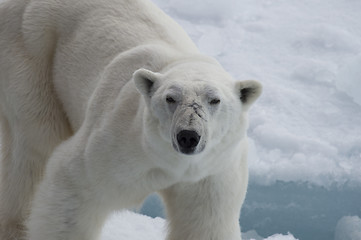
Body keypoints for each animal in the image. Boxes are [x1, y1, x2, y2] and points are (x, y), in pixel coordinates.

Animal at [0, 0, 258, 239]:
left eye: (215, 100)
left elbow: (205, 222)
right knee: (36, 145)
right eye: (170, 98)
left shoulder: (212, 171)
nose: (188, 136)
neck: (171, 164)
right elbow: (74, 186)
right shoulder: (116, 143)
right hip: (30, 52)